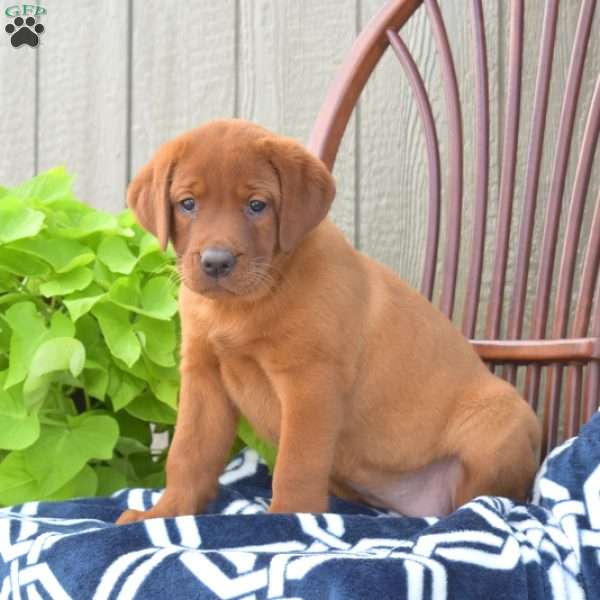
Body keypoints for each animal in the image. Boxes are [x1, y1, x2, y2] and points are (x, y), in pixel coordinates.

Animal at [116, 119, 540, 524]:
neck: (244, 305)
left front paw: (287, 519)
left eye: (257, 205)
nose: (216, 262)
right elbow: (188, 453)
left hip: (501, 426)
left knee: (490, 499)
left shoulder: (310, 383)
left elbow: (296, 465)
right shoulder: (204, 377)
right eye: (187, 203)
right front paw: (167, 511)